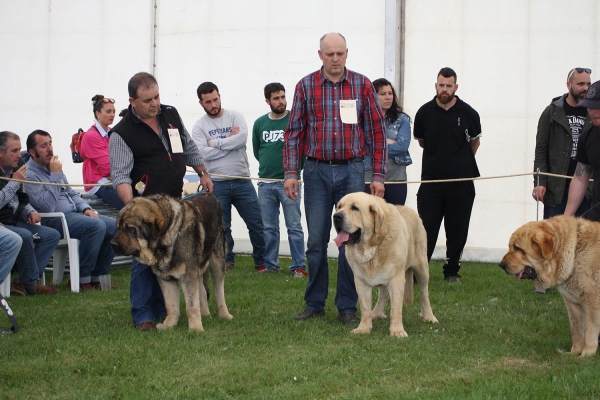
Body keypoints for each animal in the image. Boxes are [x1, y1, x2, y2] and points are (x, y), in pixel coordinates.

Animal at [111, 193, 233, 332]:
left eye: (130, 229)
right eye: (118, 228)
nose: (112, 244)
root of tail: (210, 195)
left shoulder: (188, 276)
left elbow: (191, 306)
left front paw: (195, 329)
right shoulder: (165, 278)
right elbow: (171, 305)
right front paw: (169, 325)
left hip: (217, 263)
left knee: (219, 291)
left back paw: (224, 314)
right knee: (202, 290)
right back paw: (206, 315)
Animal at [332, 192, 436, 336]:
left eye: (355, 208)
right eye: (339, 207)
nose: (336, 216)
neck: (372, 247)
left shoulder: (397, 279)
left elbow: (396, 309)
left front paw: (397, 331)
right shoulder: (360, 281)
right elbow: (365, 307)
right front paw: (363, 328)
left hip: (422, 268)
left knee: (424, 292)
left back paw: (429, 316)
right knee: (383, 294)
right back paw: (375, 313)